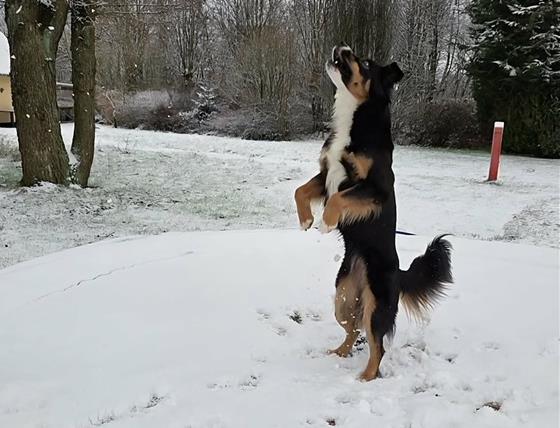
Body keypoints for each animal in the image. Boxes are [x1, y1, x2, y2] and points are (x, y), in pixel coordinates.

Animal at [294, 45, 453, 381]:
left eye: (365, 62)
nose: (341, 47)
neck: (354, 121)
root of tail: (399, 273)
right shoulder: (325, 174)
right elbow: (301, 190)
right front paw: (306, 220)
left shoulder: (375, 190)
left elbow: (338, 199)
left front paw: (326, 223)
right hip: (343, 297)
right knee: (352, 328)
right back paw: (340, 352)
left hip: (377, 304)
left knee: (377, 345)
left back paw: (365, 377)